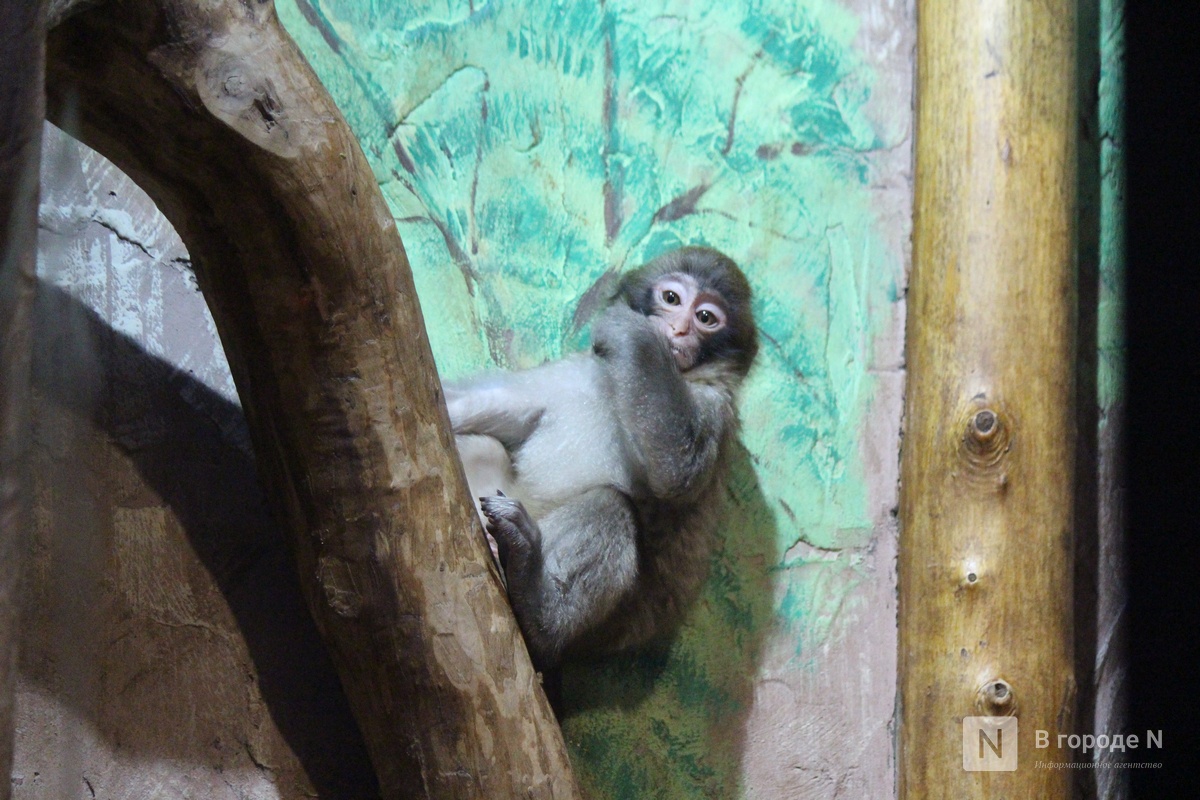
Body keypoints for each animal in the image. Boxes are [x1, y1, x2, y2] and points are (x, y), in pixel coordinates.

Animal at [446, 247, 753, 671]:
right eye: (671, 298)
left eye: (706, 318)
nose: (677, 330)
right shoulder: (579, 368)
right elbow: (491, 407)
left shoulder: (716, 409)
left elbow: (680, 471)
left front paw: (634, 333)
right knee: (484, 447)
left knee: (611, 506)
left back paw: (536, 605)